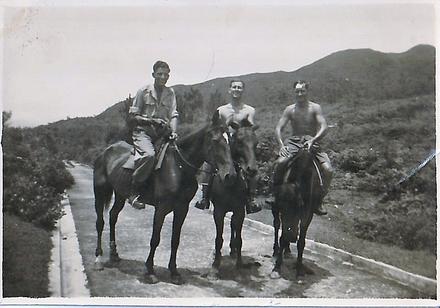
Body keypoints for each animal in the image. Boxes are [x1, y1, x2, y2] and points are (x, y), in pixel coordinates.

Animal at [93, 113, 235, 284]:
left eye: (231, 140)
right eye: (215, 140)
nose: (230, 176)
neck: (179, 167)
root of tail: (105, 152)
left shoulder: (182, 209)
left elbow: (175, 240)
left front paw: (174, 272)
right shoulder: (161, 208)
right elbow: (155, 239)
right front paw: (150, 271)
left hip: (120, 195)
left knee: (113, 216)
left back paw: (114, 255)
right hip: (99, 193)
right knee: (100, 223)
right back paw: (98, 259)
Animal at [270, 140, 322, 280]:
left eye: (299, 206)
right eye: (282, 206)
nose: (292, 237)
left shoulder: (307, 214)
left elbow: (301, 242)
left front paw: (299, 269)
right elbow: (282, 237)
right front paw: (277, 267)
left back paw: (287, 250)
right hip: (274, 211)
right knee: (276, 226)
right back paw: (276, 250)